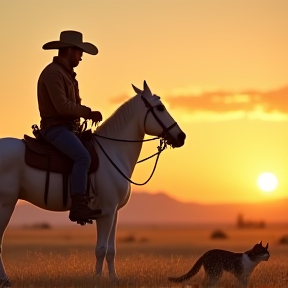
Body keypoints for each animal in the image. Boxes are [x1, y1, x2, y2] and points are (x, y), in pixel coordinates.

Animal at [0, 81, 184, 286]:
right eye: (160, 107)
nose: (181, 136)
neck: (113, 152)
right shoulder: (107, 211)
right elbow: (101, 249)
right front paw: (97, 279)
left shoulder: (113, 212)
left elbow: (111, 250)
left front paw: (113, 279)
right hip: (5, 204)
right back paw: (5, 280)